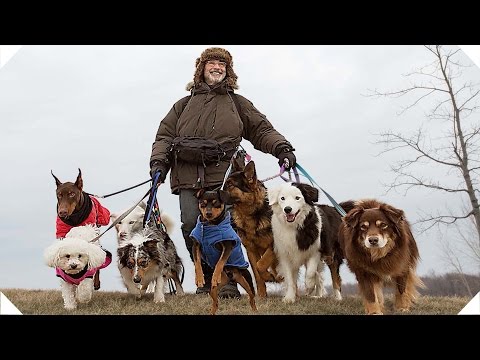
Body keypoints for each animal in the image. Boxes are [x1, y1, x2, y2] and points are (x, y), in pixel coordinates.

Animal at [190, 188, 258, 316]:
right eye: (203, 203)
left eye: (216, 203)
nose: (208, 213)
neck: (209, 225)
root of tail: (232, 276)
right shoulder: (196, 245)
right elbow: (197, 263)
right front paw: (199, 279)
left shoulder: (227, 246)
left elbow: (220, 262)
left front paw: (215, 275)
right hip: (214, 288)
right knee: (215, 301)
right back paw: (212, 312)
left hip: (246, 280)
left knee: (252, 298)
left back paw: (255, 310)